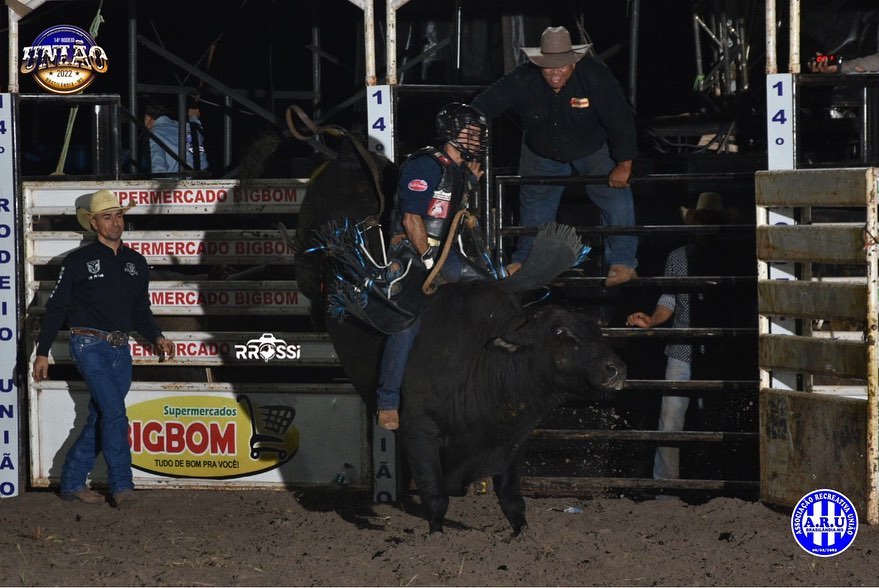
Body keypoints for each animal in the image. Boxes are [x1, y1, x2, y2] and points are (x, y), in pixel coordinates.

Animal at [290, 132, 624, 532]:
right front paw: (437, 536)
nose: (616, 369)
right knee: (309, 276)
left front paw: (522, 535)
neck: (482, 359)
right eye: (561, 333)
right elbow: (436, 498)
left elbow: (512, 499)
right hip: (308, 256)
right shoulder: (419, 431)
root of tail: (348, 156)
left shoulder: (512, 440)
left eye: (594, 329)